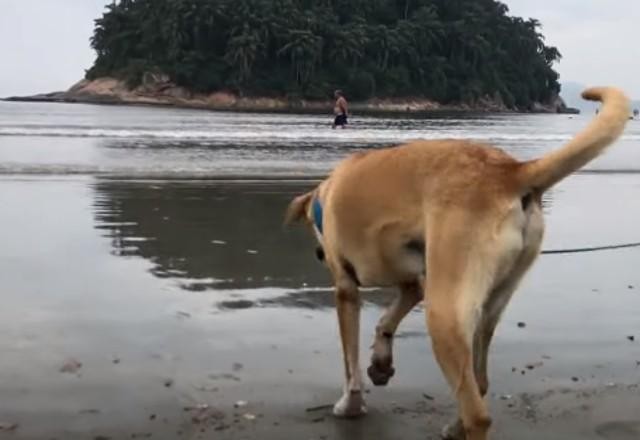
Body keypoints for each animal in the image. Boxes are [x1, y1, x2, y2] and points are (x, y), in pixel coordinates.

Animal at [284, 87, 632, 438]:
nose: (318, 254)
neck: (326, 196)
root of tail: (511, 171)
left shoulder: (346, 288)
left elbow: (349, 359)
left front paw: (351, 404)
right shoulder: (414, 284)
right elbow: (387, 319)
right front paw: (381, 363)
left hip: (444, 311)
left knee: (478, 412)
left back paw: (464, 425)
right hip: (487, 305)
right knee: (478, 382)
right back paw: (456, 424)